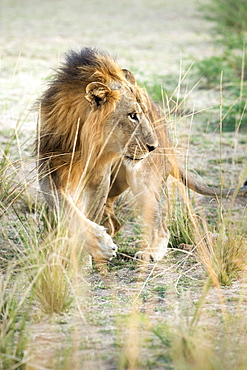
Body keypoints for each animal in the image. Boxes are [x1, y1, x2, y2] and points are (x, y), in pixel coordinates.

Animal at [36, 47, 247, 264]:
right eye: (132, 116)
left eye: (143, 113)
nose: (153, 147)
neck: (84, 143)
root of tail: (166, 137)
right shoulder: (49, 168)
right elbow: (67, 209)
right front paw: (93, 247)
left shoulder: (99, 176)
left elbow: (89, 213)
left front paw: (88, 253)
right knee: (114, 222)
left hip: (143, 179)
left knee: (160, 226)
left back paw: (150, 252)